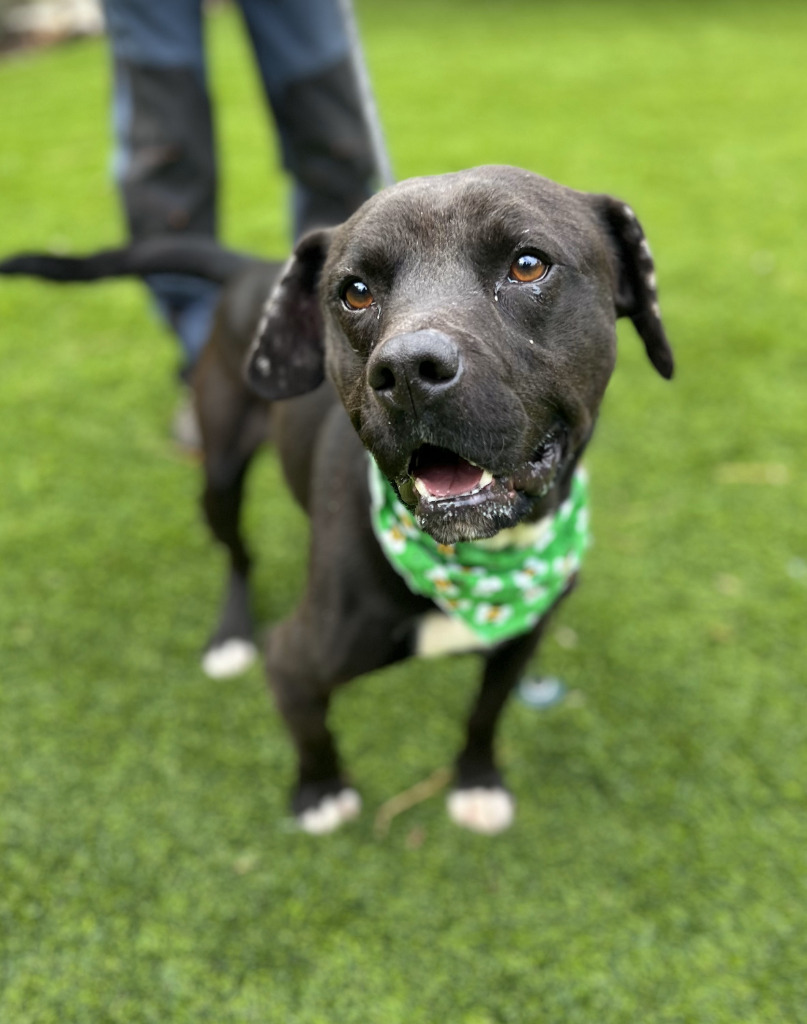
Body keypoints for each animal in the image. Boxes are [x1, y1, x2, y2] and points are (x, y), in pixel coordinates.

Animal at [0, 167, 671, 835]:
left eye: (528, 265)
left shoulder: (518, 644)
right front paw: (320, 793)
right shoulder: (294, 662)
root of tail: (255, 268)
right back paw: (230, 636)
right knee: (237, 554)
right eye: (355, 292)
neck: (476, 560)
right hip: (219, 475)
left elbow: (485, 713)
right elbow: (312, 732)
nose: (408, 370)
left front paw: (478, 780)